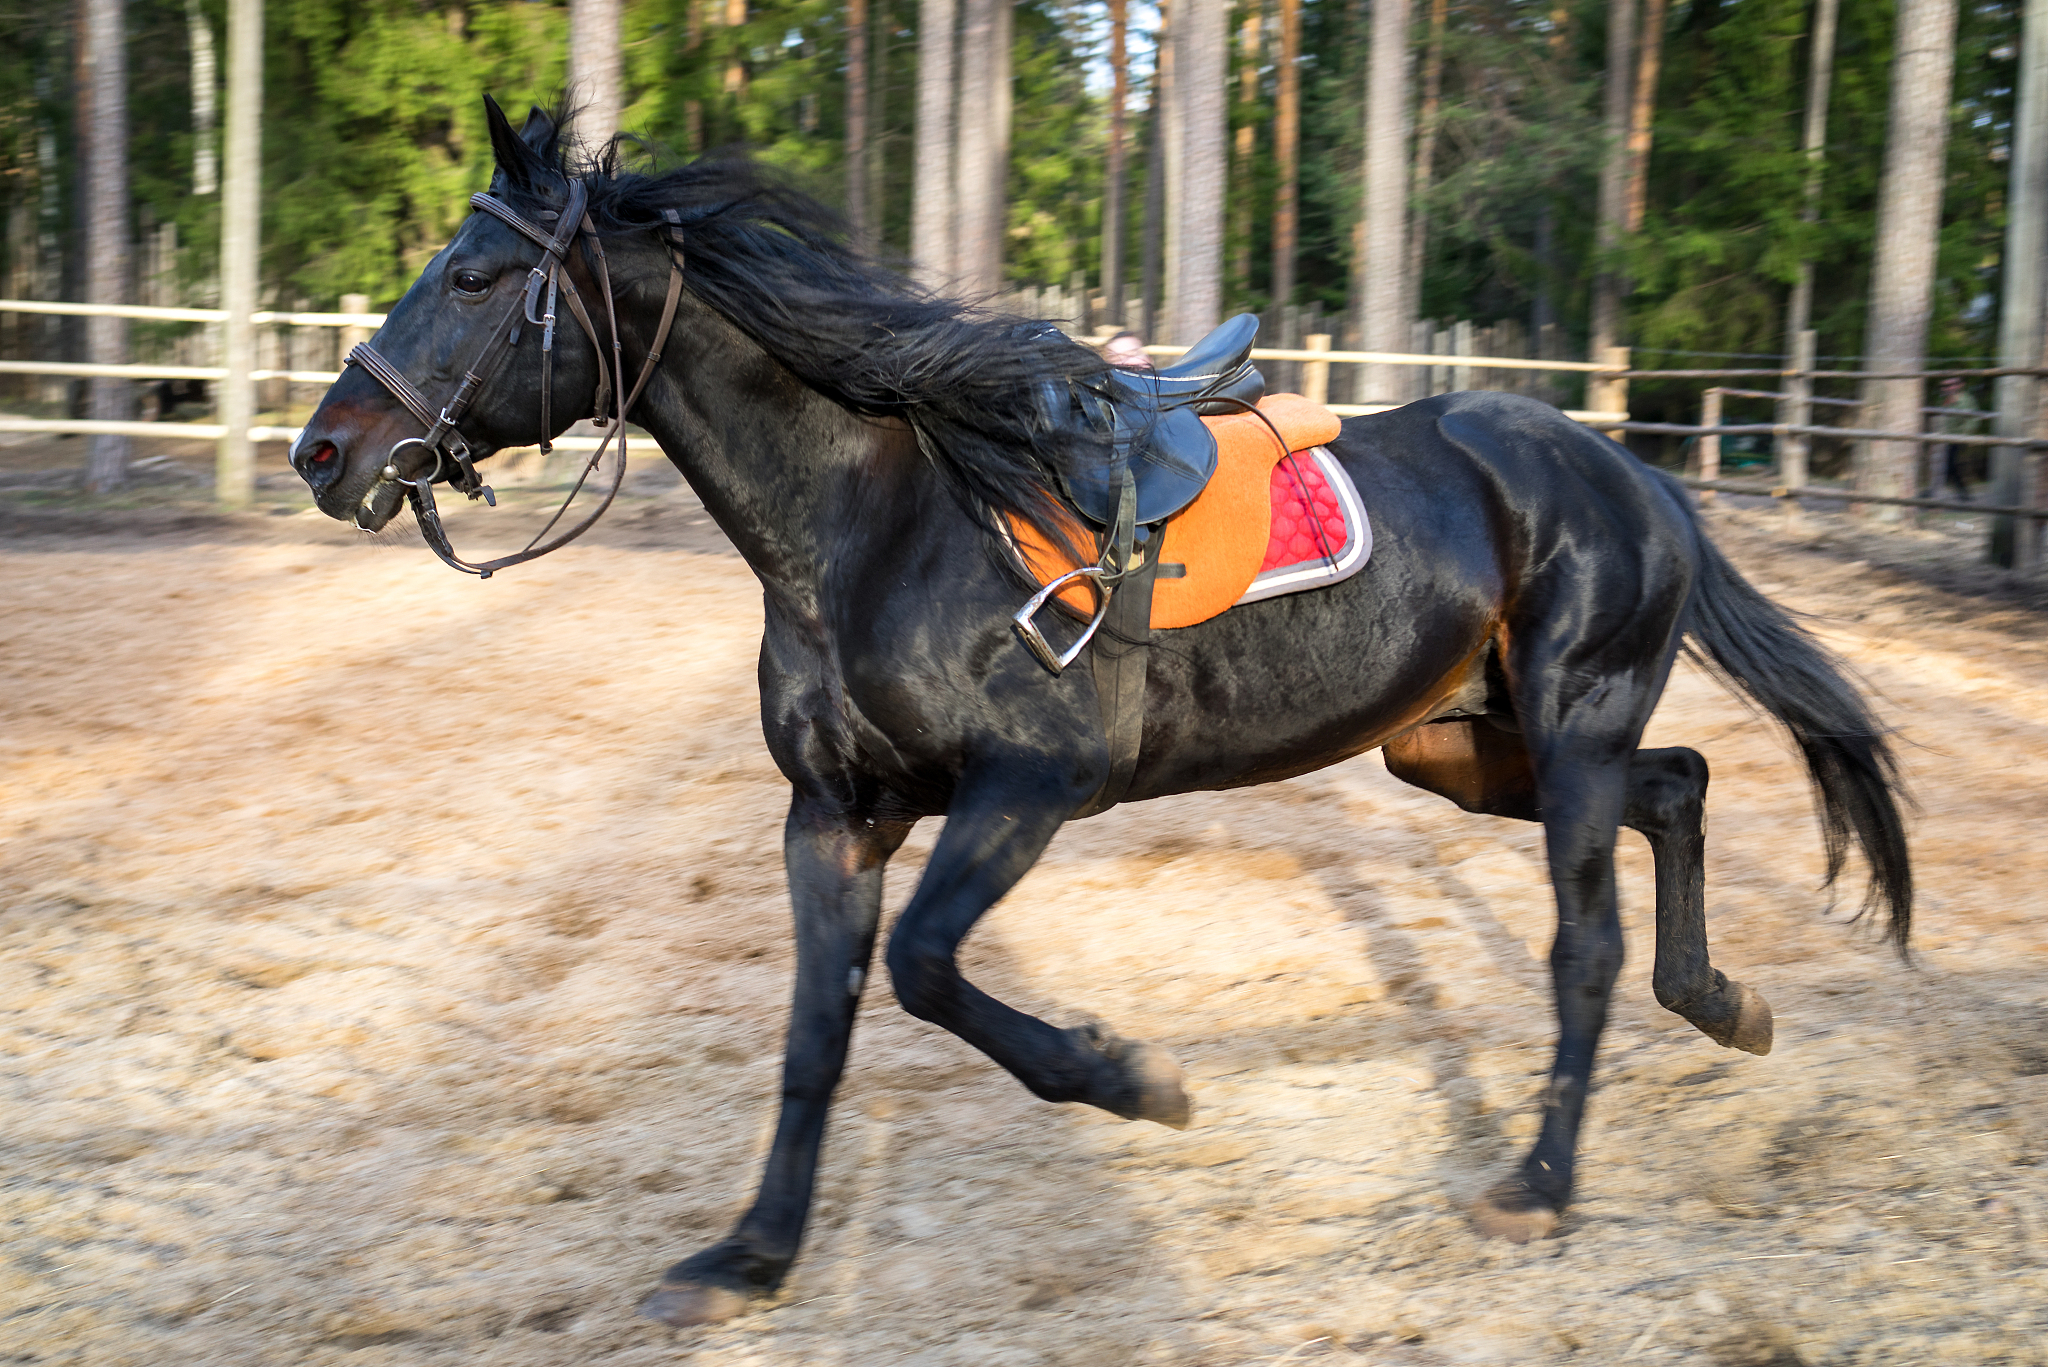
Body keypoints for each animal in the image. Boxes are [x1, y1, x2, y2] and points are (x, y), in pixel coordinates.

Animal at [291, 100, 1911, 1328]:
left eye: (477, 279)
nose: (325, 450)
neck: (877, 521)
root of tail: (1633, 473)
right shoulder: (834, 817)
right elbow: (816, 1033)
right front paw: (749, 1256)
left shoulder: (1030, 784)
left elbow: (927, 971)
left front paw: (1135, 1079)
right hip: (1458, 745)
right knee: (1682, 783)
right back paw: (1724, 1002)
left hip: (1567, 729)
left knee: (1587, 944)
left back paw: (1538, 1185)